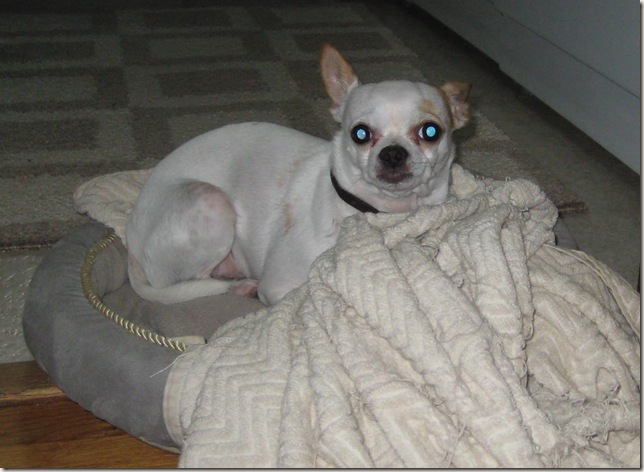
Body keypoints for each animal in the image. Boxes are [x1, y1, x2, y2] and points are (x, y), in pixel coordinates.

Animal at [126, 45, 470, 306]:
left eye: (430, 132)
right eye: (360, 134)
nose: (393, 153)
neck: (383, 213)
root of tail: (132, 240)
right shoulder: (280, 286)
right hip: (210, 201)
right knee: (193, 280)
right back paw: (239, 284)